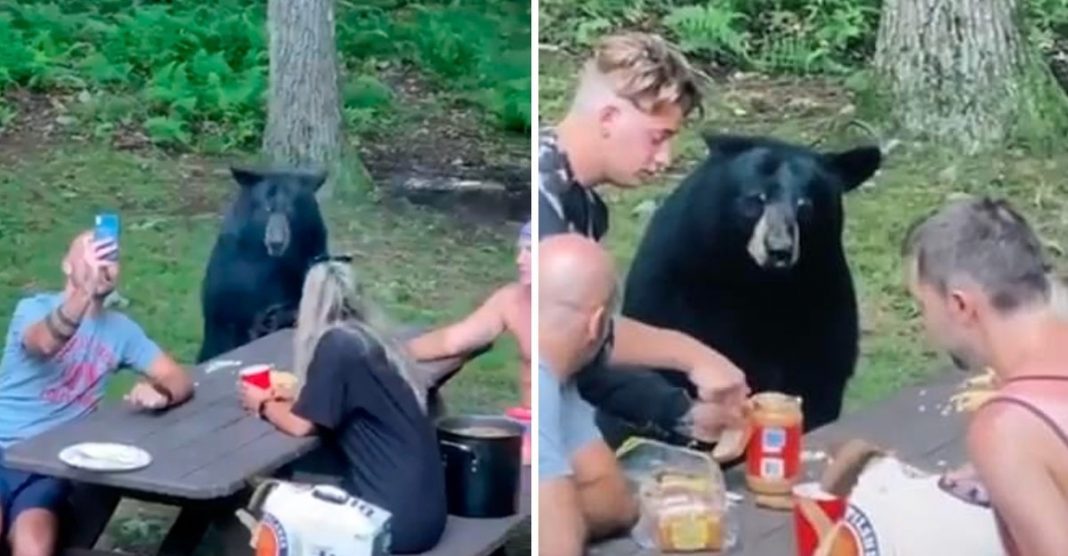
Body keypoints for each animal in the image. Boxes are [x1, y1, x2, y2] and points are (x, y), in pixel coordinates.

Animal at [580, 133, 880, 446]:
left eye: (805, 205)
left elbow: (820, 373)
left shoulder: (822, 291)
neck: (759, 284)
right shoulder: (679, 283)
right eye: (755, 199)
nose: (779, 251)